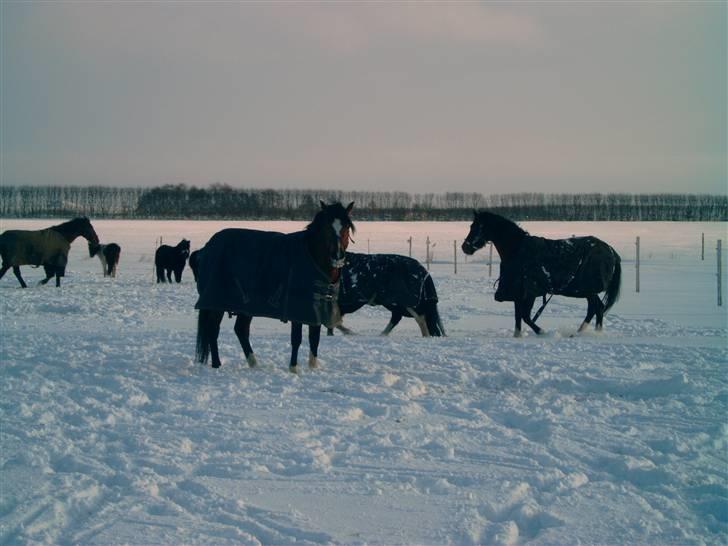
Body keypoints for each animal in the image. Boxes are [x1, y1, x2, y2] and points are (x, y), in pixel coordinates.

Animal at [193, 202, 352, 372]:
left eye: (347, 227)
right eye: (327, 227)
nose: (338, 256)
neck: (311, 257)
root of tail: (206, 249)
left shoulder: (316, 308)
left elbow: (314, 339)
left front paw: (312, 368)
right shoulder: (297, 310)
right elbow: (297, 339)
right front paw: (293, 369)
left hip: (246, 307)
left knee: (240, 329)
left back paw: (254, 364)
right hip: (216, 304)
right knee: (212, 329)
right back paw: (217, 364)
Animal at [460, 209, 620, 334]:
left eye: (477, 227)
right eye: (471, 226)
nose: (465, 247)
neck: (517, 249)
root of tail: (610, 249)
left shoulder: (530, 293)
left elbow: (525, 317)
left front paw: (542, 332)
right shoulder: (518, 294)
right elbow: (518, 319)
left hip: (588, 290)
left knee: (596, 308)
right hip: (588, 291)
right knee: (597, 308)